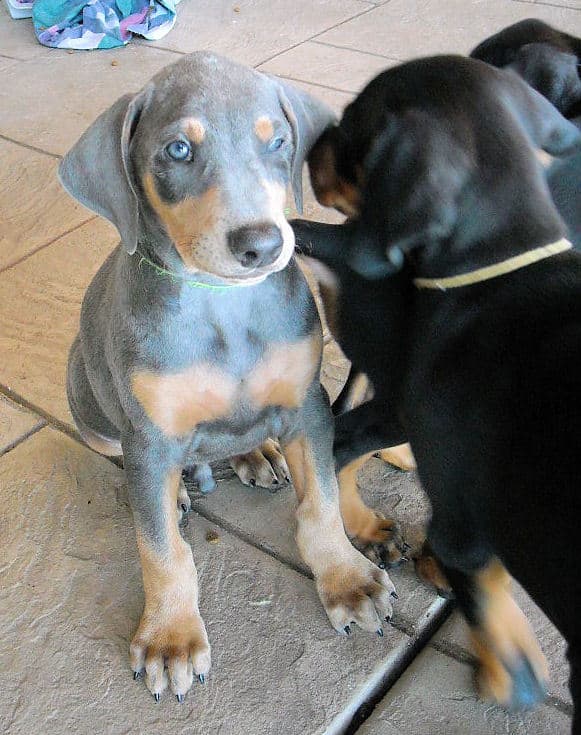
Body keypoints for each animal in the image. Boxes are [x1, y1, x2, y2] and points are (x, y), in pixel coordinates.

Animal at [59, 50, 396, 700]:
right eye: (178, 150)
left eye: (280, 142)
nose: (261, 244)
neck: (223, 306)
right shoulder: (150, 437)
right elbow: (160, 549)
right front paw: (170, 638)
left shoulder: (308, 406)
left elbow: (321, 504)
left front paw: (346, 578)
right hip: (87, 399)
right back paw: (180, 489)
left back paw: (254, 453)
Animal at [292, 56, 580, 724]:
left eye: (354, 127)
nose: (312, 142)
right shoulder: (463, 518)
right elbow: (497, 612)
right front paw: (506, 679)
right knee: (342, 440)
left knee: (349, 433)